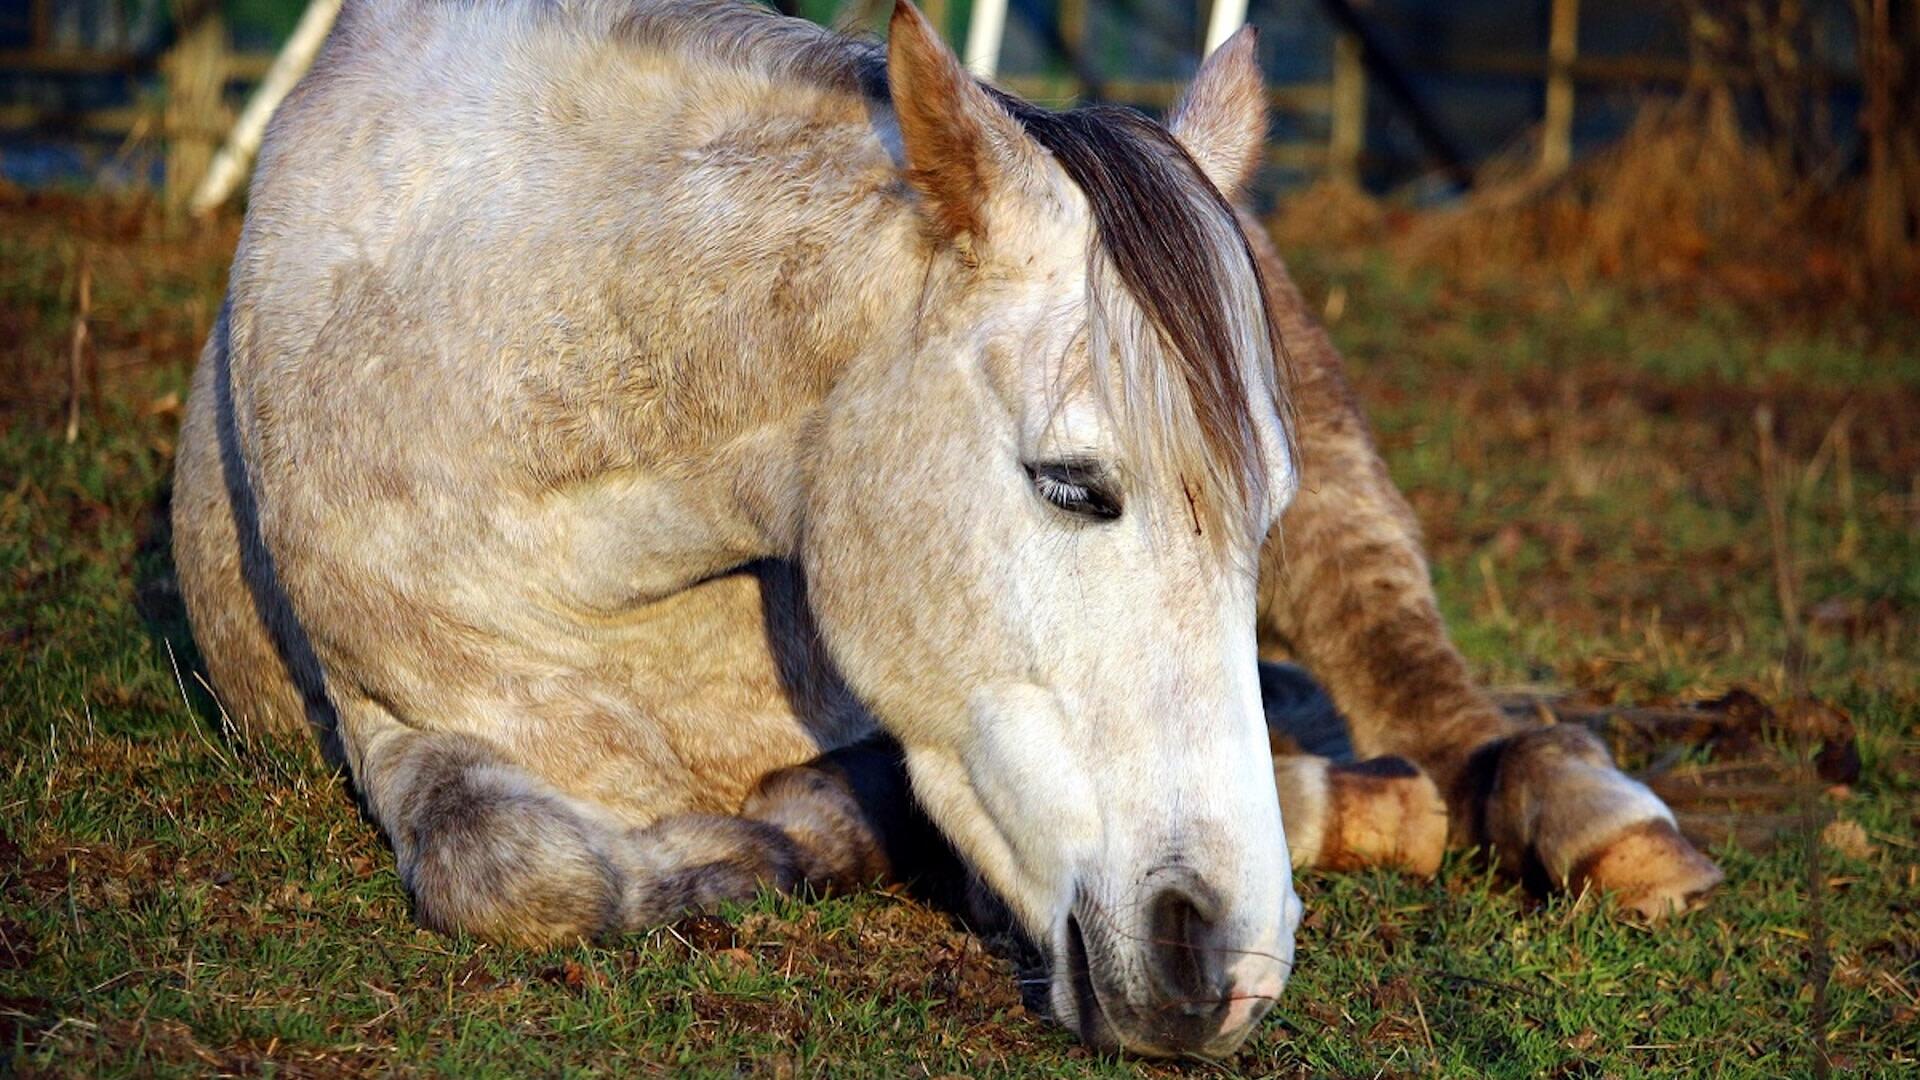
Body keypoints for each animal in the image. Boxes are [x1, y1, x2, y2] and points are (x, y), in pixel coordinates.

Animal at [170, 0, 1723, 1057]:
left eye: (1254, 516)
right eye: (1072, 484)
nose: (1227, 966)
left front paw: (797, 833)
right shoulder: (387, 719)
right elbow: (516, 871)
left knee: (1435, 690)